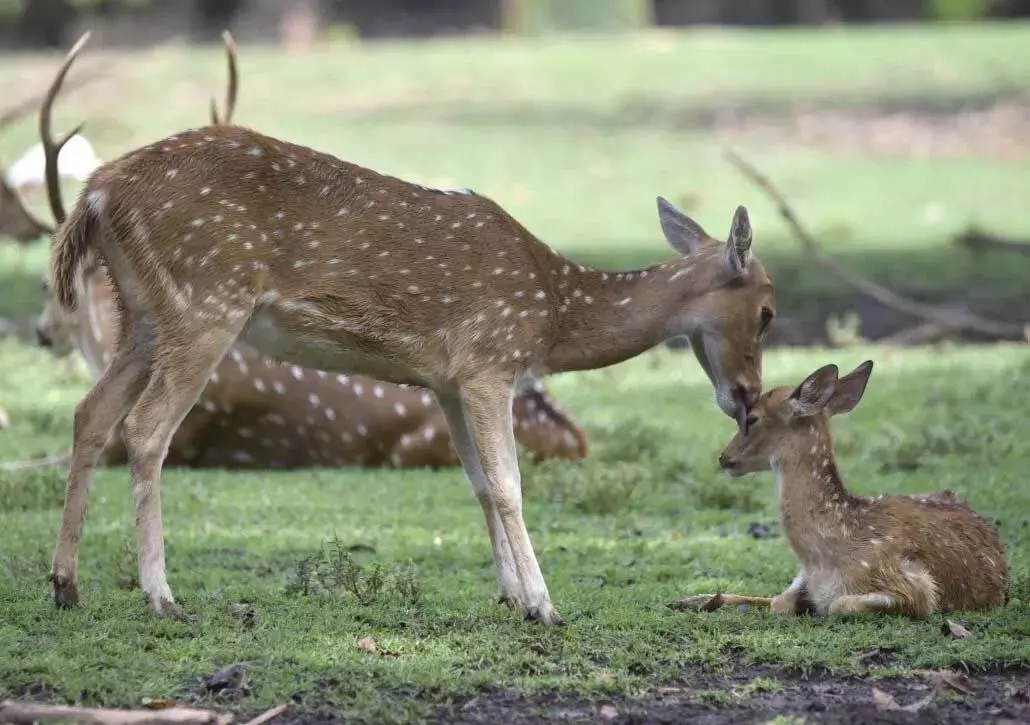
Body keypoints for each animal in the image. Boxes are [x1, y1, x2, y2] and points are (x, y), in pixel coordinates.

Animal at [46, 32, 774, 622]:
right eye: (768, 310)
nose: (746, 398)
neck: (551, 314)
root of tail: (97, 192)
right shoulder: (489, 359)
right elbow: (509, 484)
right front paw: (543, 604)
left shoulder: (446, 381)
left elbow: (478, 483)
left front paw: (509, 595)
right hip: (206, 302)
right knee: (145, 428)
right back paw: (161, 595)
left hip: (144, 315)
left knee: (89, 413)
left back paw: (65, 583)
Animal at [675, 360, 1005, 617]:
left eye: (753, 418)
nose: (724, 457)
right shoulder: (803, 578)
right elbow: (780, 601)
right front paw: (696, 599)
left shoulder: (914, 586)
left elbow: (837, 605)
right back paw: (688, 600)